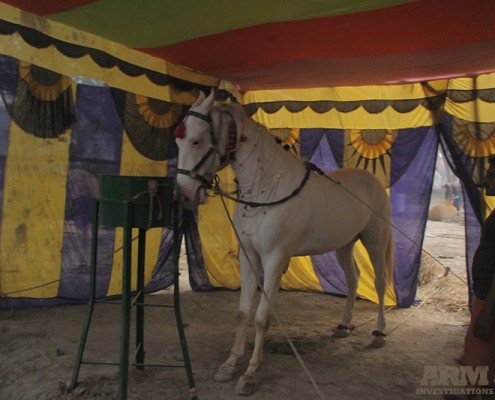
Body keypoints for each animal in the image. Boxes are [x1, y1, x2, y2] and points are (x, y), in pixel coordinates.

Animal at [174, 91, 395, 396]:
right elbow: (243, 313)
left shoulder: (274, 260)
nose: (183, 194)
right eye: (177, 141)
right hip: (344, 245)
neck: (265, 191)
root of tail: (372, 179)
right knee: (353, 279)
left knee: (379, 283)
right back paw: (343, 325)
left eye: (196, 140)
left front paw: (249, 374)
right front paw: (229, 365)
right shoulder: (249, 257)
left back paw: (379, 333)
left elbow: (261, 318)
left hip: (374, 242)